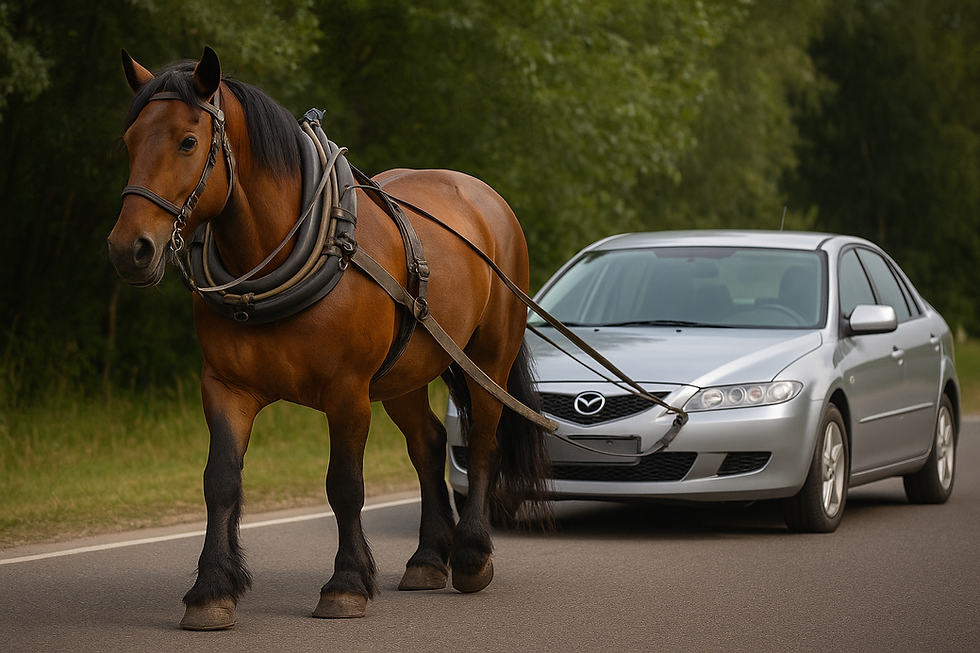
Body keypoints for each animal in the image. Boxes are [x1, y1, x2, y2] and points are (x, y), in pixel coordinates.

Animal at [107, 47, 551, 630]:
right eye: (131, 140)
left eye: (187, 141)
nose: (128, 250)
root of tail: (485, 198)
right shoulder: (224, 387)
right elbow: (220, 482)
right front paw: (211, 591)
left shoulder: (347, 393)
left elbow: (344, 486)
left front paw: (346, 585)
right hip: (404, 371)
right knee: (429, 444)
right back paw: (428, 559)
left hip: (489, 357)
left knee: (480, 445)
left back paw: (472, 556)